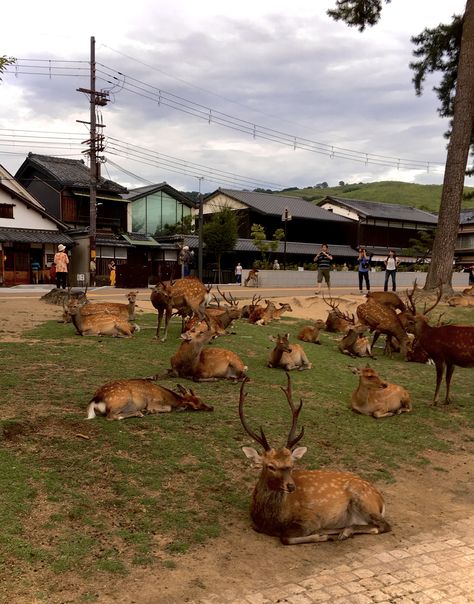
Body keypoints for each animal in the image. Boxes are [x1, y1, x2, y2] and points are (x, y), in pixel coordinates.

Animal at [85, 378, 213, 420]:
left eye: (200, 398)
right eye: (196, 407)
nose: (211, 407)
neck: (164, 396)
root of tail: (96, 398)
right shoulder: (153, 402)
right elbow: (168, 408)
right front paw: (150, 411)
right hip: (124, 400)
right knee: (110, 416)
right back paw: (139, 413)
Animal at [239, 376, 390, 544]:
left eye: (292, 465)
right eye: (270, 466)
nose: (291, 486)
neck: (270, 520)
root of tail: (381, 500)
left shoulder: (311, 518)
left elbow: (285, 537)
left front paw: (322, 535)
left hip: (364, 499)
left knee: (384, 525)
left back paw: (344, 532)